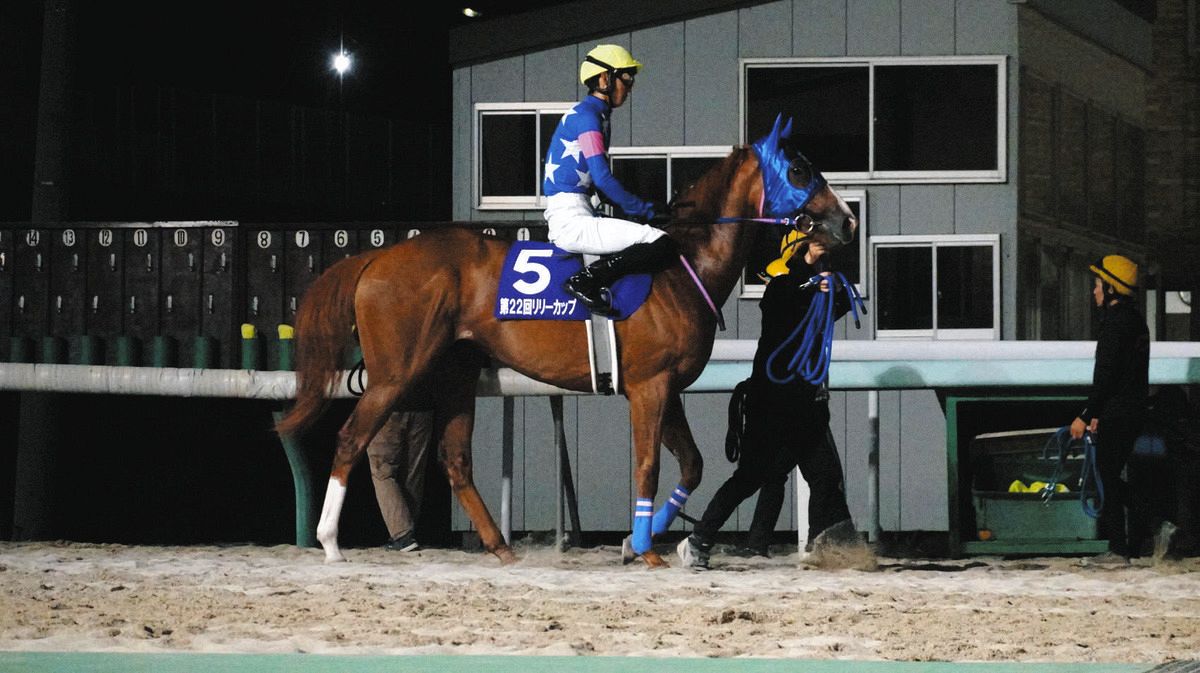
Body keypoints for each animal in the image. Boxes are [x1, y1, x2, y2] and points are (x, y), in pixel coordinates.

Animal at [275, 115, 857, 567]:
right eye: (800, 169)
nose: (847, 219)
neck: (679, 264)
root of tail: (375, 257)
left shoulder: (665, 387)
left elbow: (691, 464)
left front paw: (636, 542)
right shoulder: (649, 386)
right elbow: (648, 465)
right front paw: (646, 548)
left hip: (457, 372)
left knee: (455, 458)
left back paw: (500, 547)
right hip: (397, 372)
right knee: (352, 438)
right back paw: (330, 542)